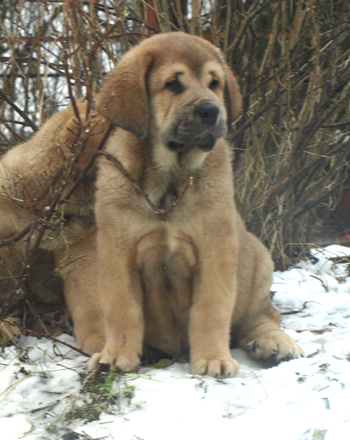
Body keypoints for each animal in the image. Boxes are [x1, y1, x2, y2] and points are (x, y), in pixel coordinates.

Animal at [86, 33, 302, 378]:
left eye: (214, 83)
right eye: (173, 84)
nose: (211, 111)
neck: (168, 181)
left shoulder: (216, 248)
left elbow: (210, 307)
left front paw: (213, 358)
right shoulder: (116, 250)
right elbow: (122, 308)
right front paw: (115, 354)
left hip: (258, 260)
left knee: (261, 317)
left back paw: (273, 344)